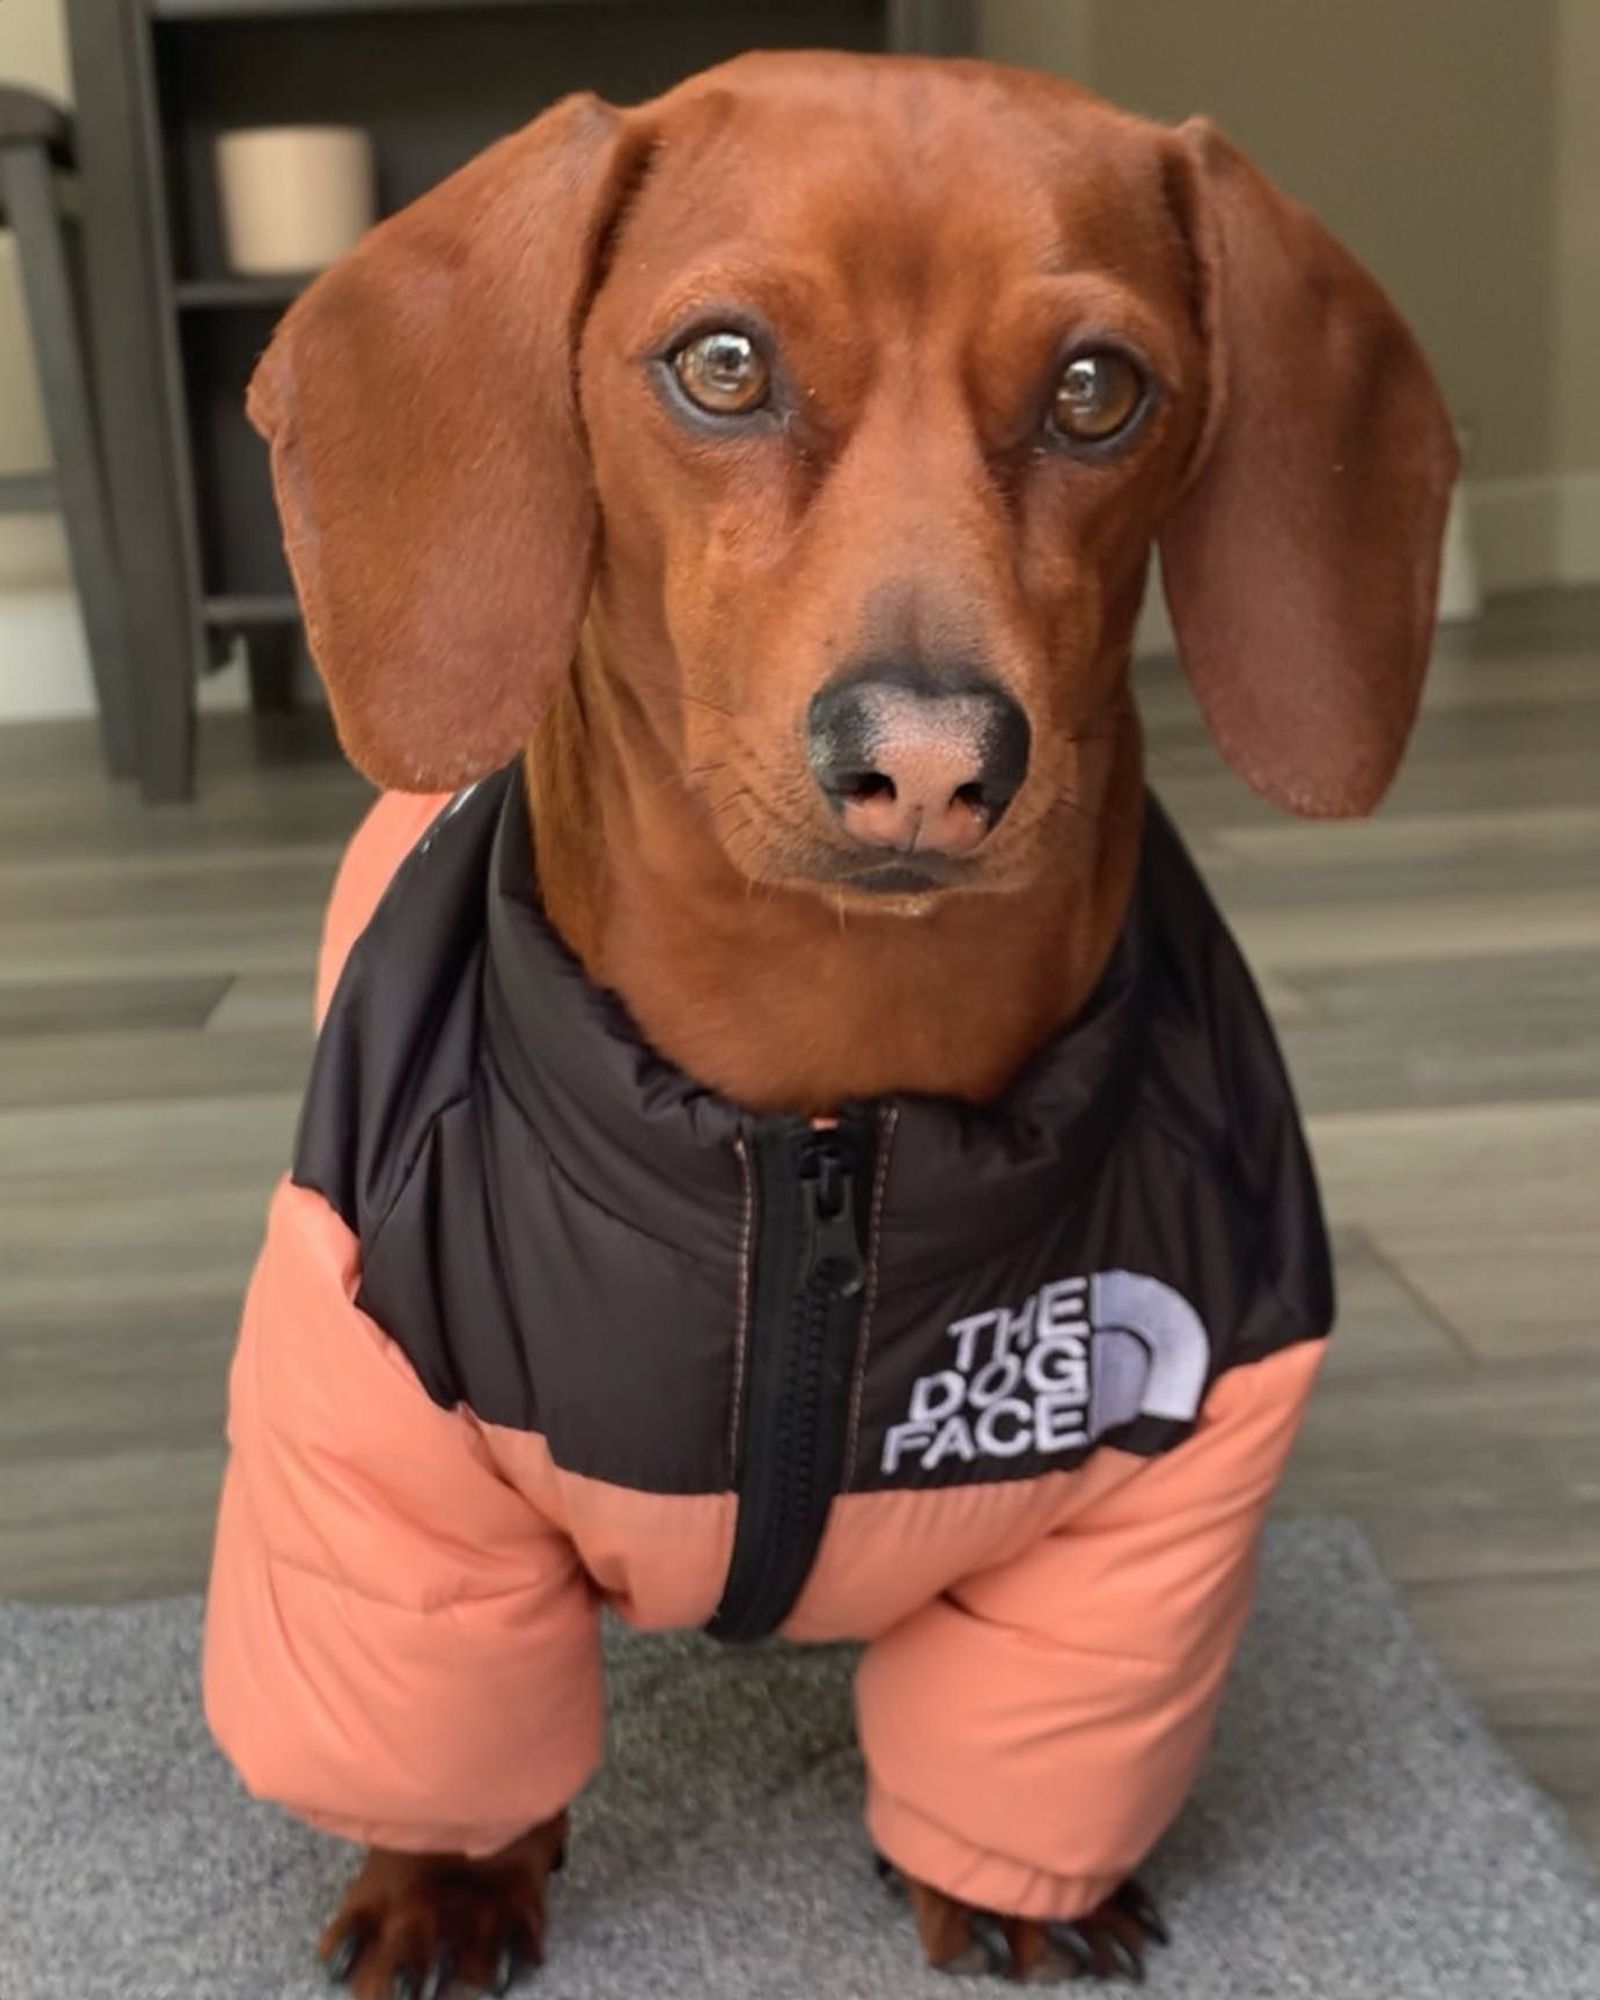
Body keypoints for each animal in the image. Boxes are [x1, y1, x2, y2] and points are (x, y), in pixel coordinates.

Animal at [231, 50, 1456, 2000]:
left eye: (1100, 391)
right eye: (724, 364)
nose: (934, 761)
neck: (824, 1116)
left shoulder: (1152, 1507)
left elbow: (1032, 1737)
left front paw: (1017, 1886)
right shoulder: (381, 1463)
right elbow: (440, 1702)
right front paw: (448, 1874)